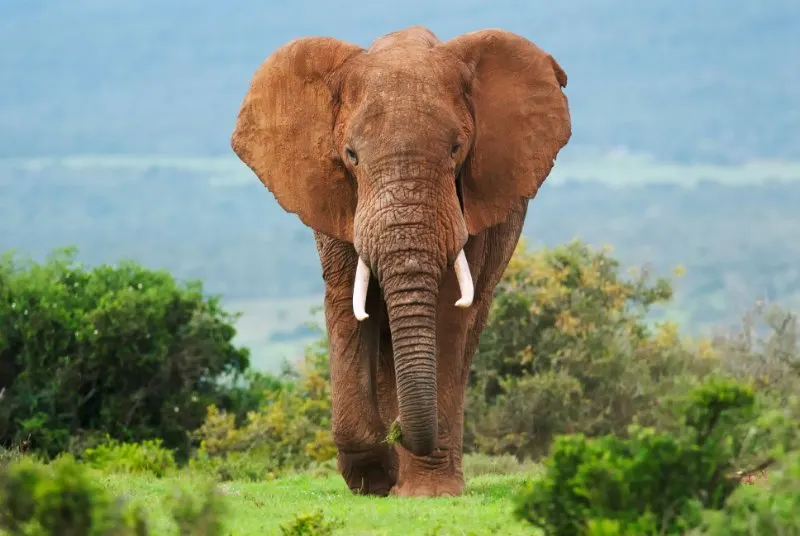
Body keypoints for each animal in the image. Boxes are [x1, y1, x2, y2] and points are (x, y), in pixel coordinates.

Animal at [228, 24, 572, 494]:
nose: (399, 434)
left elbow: (448, 309)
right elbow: (349, 301)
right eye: (351, 155)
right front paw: (374, 479)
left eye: (456, 149)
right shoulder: (337, 198)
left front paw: (426, 491)